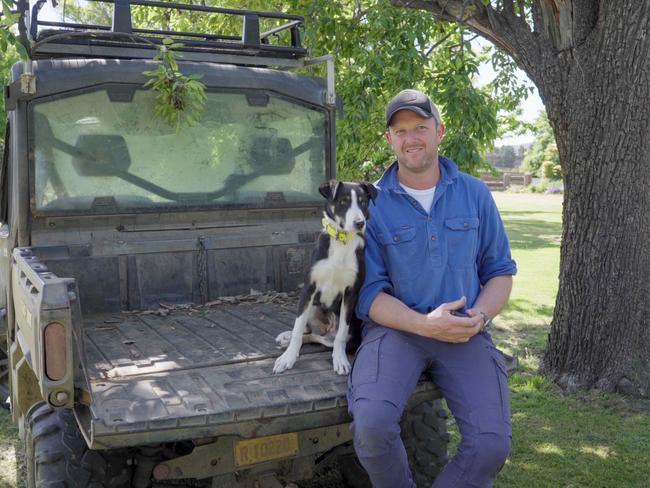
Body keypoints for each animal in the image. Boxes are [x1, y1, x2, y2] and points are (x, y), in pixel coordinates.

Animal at [272, 179, 374, 374]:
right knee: (307, 330)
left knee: (320, 337)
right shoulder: (309, 289)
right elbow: (298, 328)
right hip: (312, 306)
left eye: (364, 202)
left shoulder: (351, 293)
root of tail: (328, 327)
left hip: (345, 333)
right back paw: (286, 338)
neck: (341, 242)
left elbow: (340, 336)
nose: (359, 223)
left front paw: (340, 360)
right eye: (343, 201)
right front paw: (288, 358)